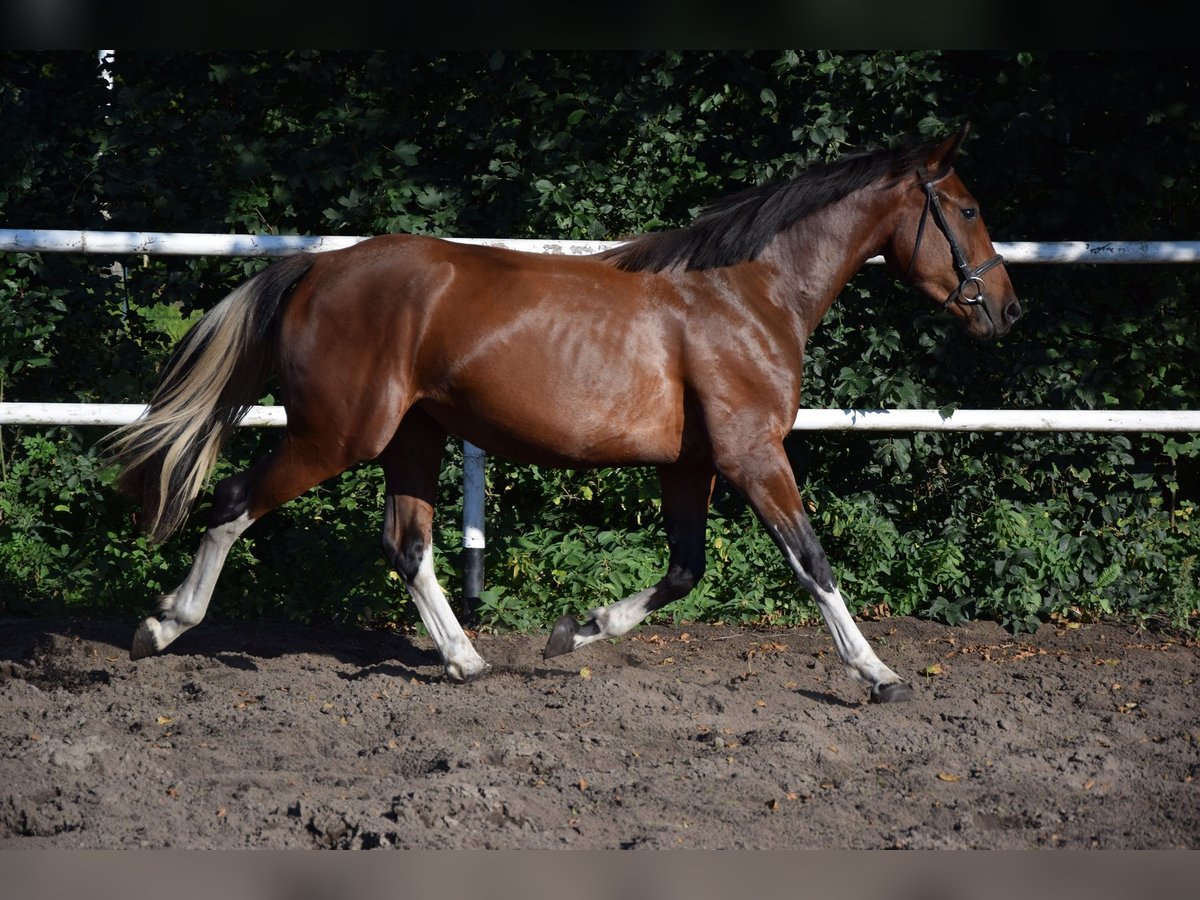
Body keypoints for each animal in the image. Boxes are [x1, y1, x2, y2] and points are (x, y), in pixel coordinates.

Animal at [106, 125, 1019, 703]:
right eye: (970, 210)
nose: (1006, 310)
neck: (748, 294)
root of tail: (317, 270)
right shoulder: (754, 454)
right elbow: (813, 562)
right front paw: (878, 675)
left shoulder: (691, 465)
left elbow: (685, 570)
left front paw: (572, 631)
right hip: (336, 435)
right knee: (235, 504)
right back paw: (162, 627)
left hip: (413, 437)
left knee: (407, 545)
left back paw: (467, 660)